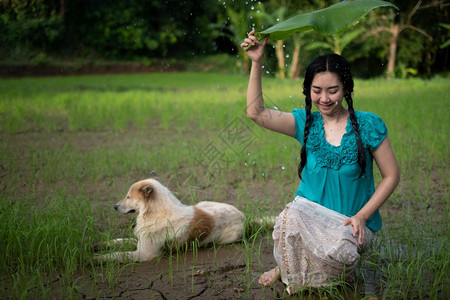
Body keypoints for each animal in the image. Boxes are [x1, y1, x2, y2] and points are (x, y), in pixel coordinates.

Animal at [94, 173, 248, 262]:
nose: (114, 206)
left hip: (229, 238)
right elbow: (120, 240)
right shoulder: (139, 240)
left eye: (128, 197)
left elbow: (117, 254)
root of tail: (242, 215)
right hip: (202, 203)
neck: (156, 213)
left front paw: (97, 259)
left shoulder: (143, 254)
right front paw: (98, 246)